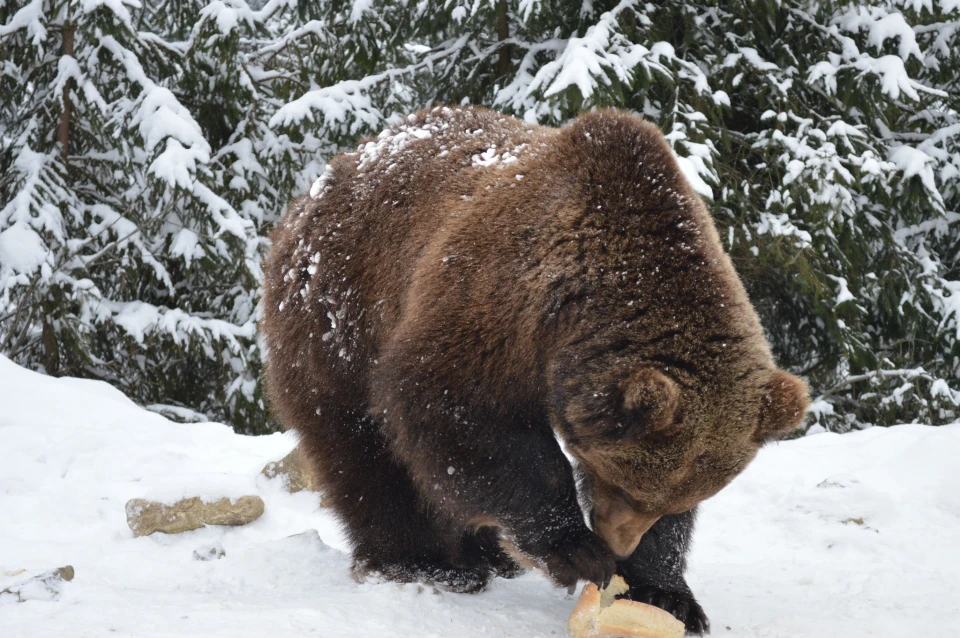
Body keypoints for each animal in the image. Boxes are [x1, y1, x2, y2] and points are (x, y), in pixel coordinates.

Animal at [258, 105, 808, 636]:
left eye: (666, 501)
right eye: (625, 486)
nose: (619, 543)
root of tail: (316, 188)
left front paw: (666, 593)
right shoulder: (498, 306)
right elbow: (461, 413)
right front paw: (577, 551)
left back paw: (488, 554)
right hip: (340, 316)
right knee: (365, 451)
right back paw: (424, 562)